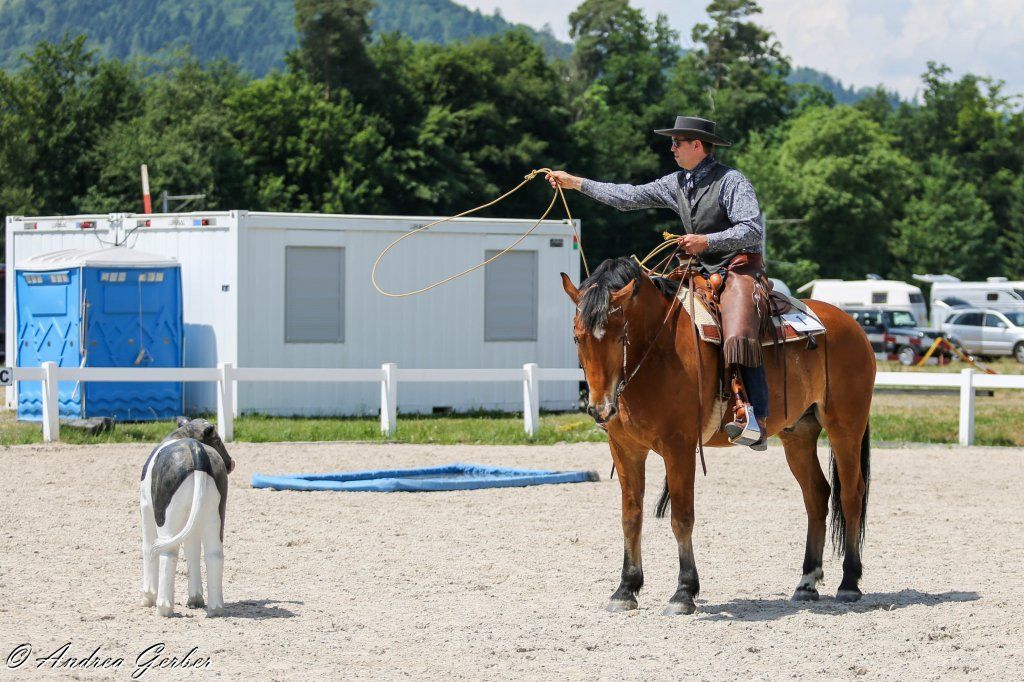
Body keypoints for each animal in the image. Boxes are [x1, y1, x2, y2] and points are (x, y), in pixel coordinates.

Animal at [561, 257, 874, 615]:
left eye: (619, 336)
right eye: (577, 338)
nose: (600, 409)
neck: (658, 350)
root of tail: (852, 325)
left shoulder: (679, 446)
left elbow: (682, 517)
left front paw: (684, 592)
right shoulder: (625, 448)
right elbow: (631, 516)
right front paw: (625, 589)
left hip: (845, 427)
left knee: (851, 495)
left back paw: (849, 583)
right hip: (799, 434)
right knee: (817, 495)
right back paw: (806, 583)